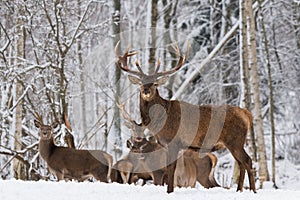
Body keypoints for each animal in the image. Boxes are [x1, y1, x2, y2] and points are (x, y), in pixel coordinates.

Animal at [115, 43, 255, 193]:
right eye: (141, 83)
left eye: (155, 83)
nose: (146, 90)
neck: (160, 121)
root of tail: (247, 114)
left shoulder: (174, 142)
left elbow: (171, 169)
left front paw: (170, 191)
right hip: (235, 142)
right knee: (241, 163)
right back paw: (239, 190)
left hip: (235, 140)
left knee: (247, 161)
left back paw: (253, 190)